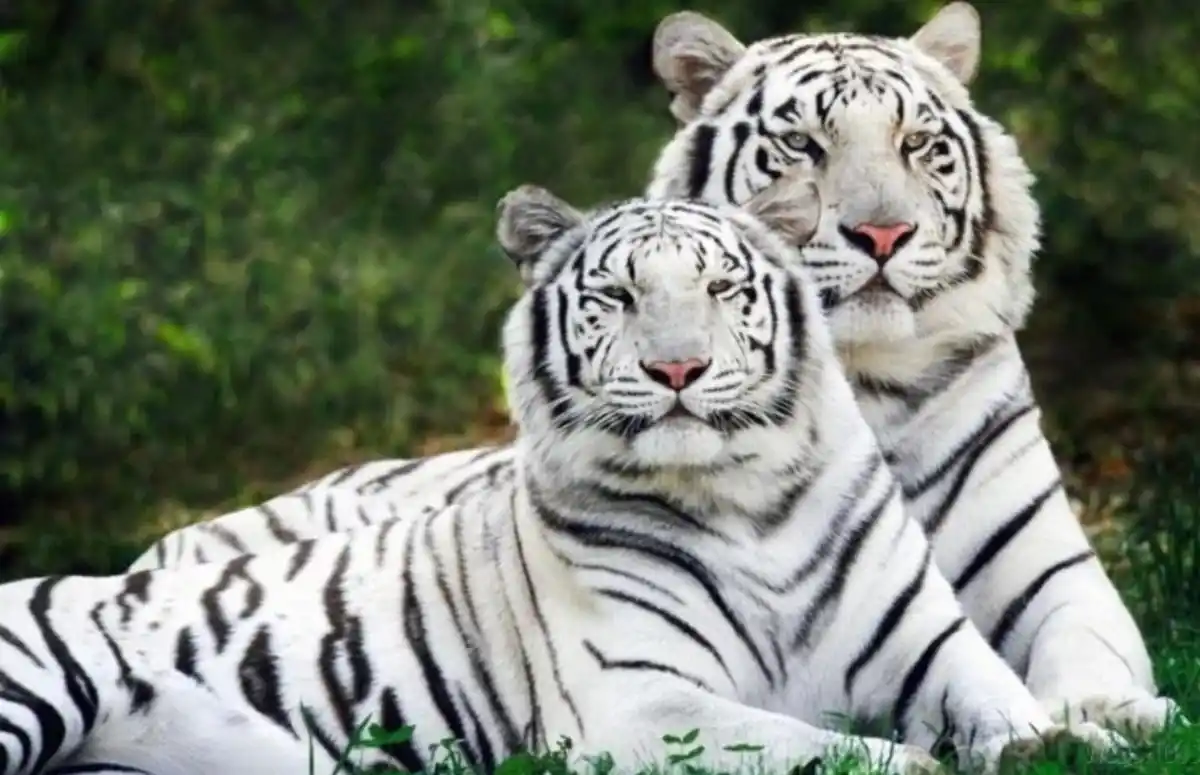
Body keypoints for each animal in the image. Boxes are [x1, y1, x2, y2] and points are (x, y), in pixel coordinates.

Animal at [0, 186, 1127, 775]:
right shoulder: (638, 701)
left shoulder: (932, 647)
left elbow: (1008, 704)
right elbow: (819, 746)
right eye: (618, 296)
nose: (677, 369)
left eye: (723, 287)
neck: (746, 501)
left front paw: (1068, 739)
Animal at [126, 0, 1182, 742]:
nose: (881, 233)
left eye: (919, 144)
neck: (864, 384)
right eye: (802, 144)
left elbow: (1088, 649)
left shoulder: (1051, 571)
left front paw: (1117, 713)